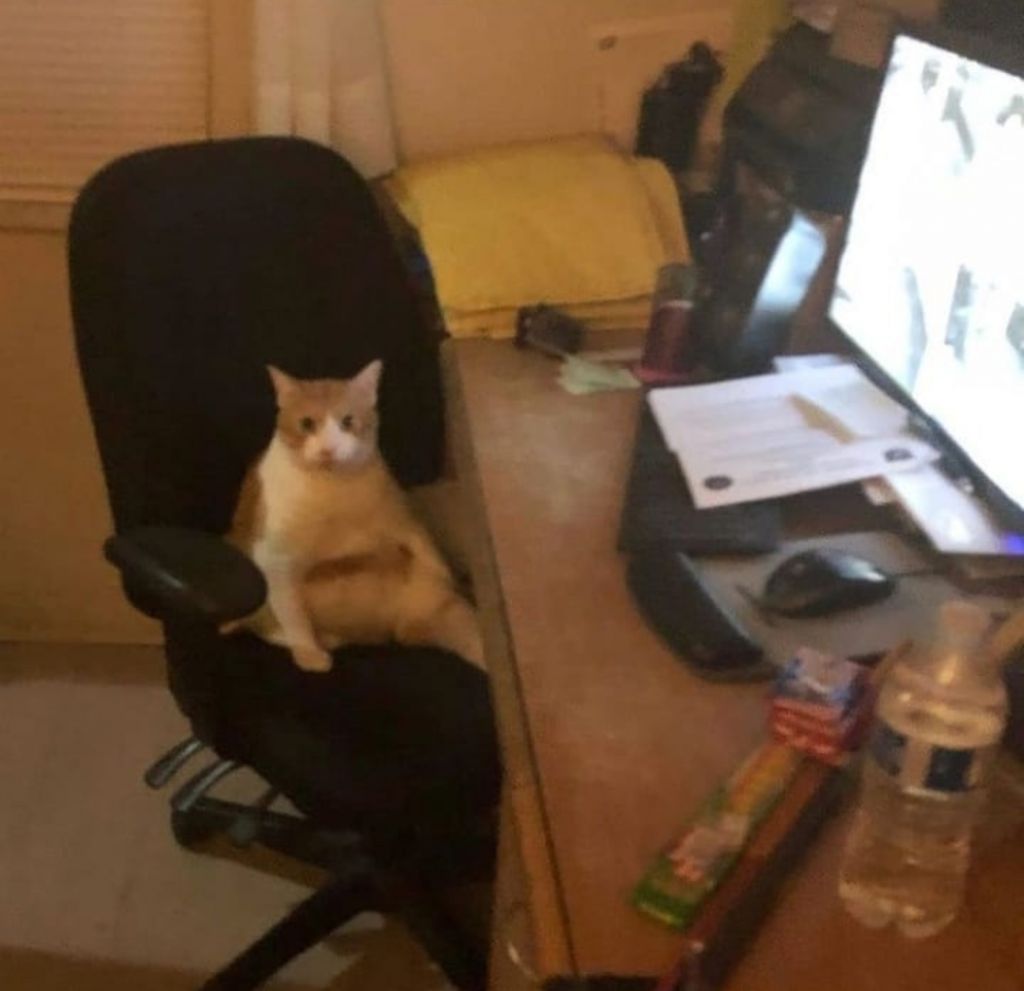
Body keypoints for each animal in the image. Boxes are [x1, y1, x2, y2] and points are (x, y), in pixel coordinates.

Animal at [226, 361, 484, 673]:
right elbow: (293, 616)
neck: (334, 492)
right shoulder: (274, 562)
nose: (329, 449)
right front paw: (309, 653)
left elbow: (427, 547)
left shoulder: (401, 518)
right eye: (307, 424)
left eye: (347, 422)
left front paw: (444, 572)